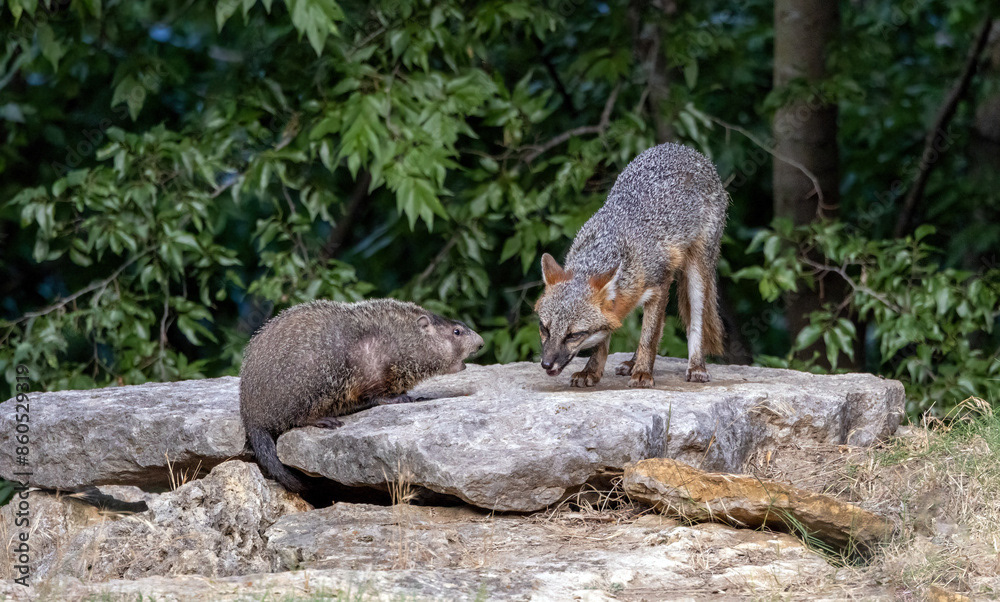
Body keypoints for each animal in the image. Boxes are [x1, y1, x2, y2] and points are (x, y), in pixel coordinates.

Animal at [534, 142, 728, 387]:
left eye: (573, 335)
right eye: (544, 328)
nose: (546, 364)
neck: (607, 246)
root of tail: (681, 147)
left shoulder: (660, 285)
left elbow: (649, 337)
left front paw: (643, 373)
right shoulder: (617, 304)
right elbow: (607, 339)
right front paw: (591, 371)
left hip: (697, 273)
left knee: (694, 322)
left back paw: (696, 367)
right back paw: (632, 363)